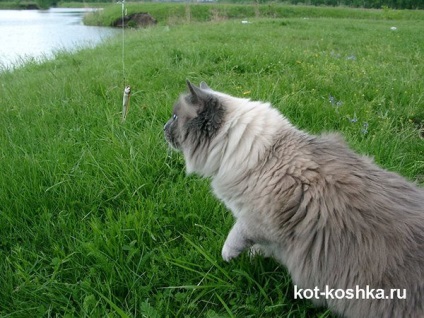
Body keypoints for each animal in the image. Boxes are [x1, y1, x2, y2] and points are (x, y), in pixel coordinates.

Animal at [163, 80, 424, 316]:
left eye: (175, 118)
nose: (163, 127)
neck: (260, 153)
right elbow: (260, 246)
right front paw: (254, 255)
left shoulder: (255, 220)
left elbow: (235, 236)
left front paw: (229, 256)